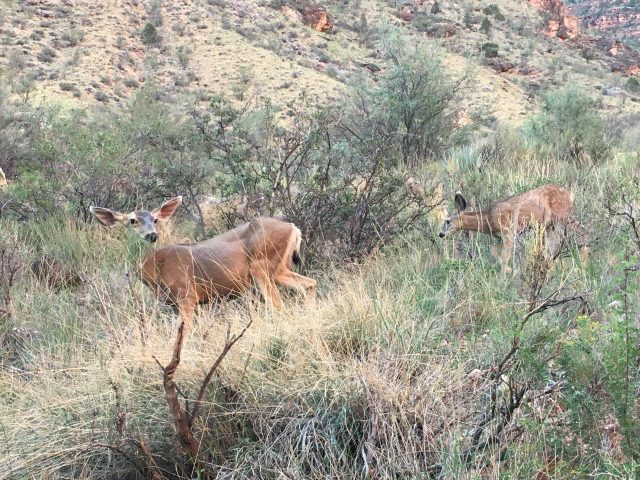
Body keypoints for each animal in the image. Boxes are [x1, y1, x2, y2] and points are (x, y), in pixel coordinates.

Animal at [90, 196, 318, 338]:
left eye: (155, 219)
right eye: (132, 220)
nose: (152, 235)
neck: (156, 268)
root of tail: (294, 228)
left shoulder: (187, 294)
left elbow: (184, 332)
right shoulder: (184, 304)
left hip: (262, 265)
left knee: (278, 305)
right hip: (279, 269)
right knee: (309, 284)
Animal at [440, 184, 584, 274]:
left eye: (447, 221)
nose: (440, 234)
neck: (489, 218)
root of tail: (571, 195)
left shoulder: (508, 231)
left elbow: (504, 257)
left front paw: (504, 279)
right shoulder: (498, 237)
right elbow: (497, 255)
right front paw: (513, 272)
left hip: (560, 219)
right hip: (548, 225)